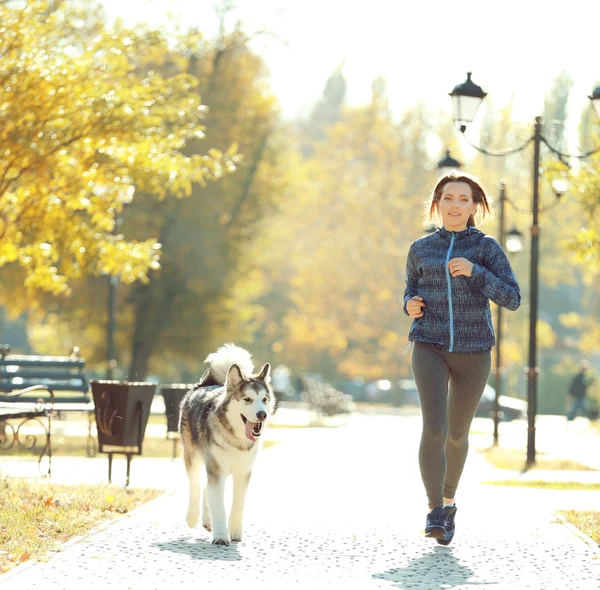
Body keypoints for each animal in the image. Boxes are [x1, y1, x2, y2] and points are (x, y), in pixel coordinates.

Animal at [177, 344, 274, 548]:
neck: (236, 438)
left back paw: (207, 521)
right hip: (193, 457)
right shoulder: (216, 470)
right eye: (247, 399)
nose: (262, 415)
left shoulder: (242, 472)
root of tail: (206, 384)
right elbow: (219, 507)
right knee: (196, 486)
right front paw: (221, 535)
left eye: (264, 399)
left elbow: (237, 505)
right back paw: (192, 517)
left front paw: (235, 532)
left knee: (205, 488)